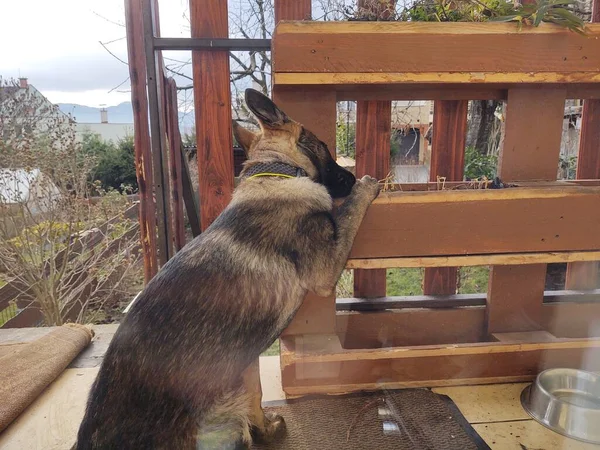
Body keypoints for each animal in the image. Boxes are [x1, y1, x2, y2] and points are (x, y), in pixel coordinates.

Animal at [72, 89, 378, 450]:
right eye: (323, 146)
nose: (353, 177)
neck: (276, 172)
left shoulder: (245, 362)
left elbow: (256, 393)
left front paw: (265, 428)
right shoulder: (326, 268)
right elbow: (349, 214)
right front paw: (365, 188)